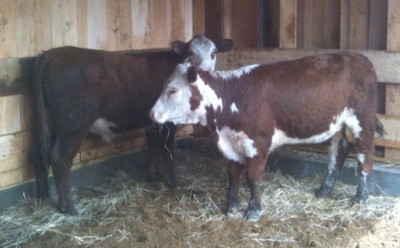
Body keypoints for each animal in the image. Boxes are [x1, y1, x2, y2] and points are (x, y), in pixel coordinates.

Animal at [32, 34, 233, 214]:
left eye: (214, 52)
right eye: (190, 52)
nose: (205, 71)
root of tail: (54, 53)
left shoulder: (152, 122)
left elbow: (153, 147)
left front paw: (152, 176)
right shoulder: (169, 121)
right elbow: (168, 150)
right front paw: (172, 182)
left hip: (50, 122)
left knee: (38, 154)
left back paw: (43, 196)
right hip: (73, 124)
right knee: (59, 157)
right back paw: (68, 207)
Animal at [151, 51, 384, 221]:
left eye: (172, 89)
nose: (151, 113)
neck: (231, 98)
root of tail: (359, 57)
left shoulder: (258, 143)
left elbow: (253, 178)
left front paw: (253, 211)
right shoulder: (232, 143)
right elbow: (233, 174)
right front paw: (231, 206)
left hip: (362, 120)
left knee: (365, 155)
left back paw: (361, 197)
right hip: (336, 125)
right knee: (338, 154)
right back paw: (324, 190)